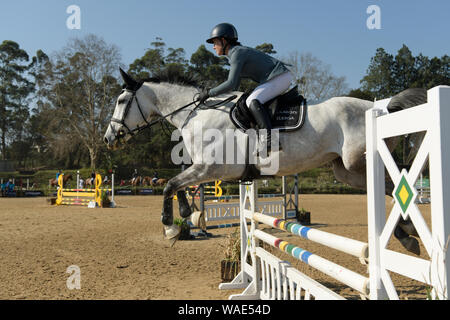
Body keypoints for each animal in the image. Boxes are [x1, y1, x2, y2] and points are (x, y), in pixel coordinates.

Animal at [103, 69, 426, 254]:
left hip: (357, 161)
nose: (108, 138)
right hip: (345, 171)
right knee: (387, 186)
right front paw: (186, 214)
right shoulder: (205, 170)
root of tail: (383, 107)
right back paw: (407, 234)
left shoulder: (212, 168)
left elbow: (170, 183)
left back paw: (407, 231)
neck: (196, 113)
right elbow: (176, 182)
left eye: (121, 101)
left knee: (397, 180)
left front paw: (171, 226)